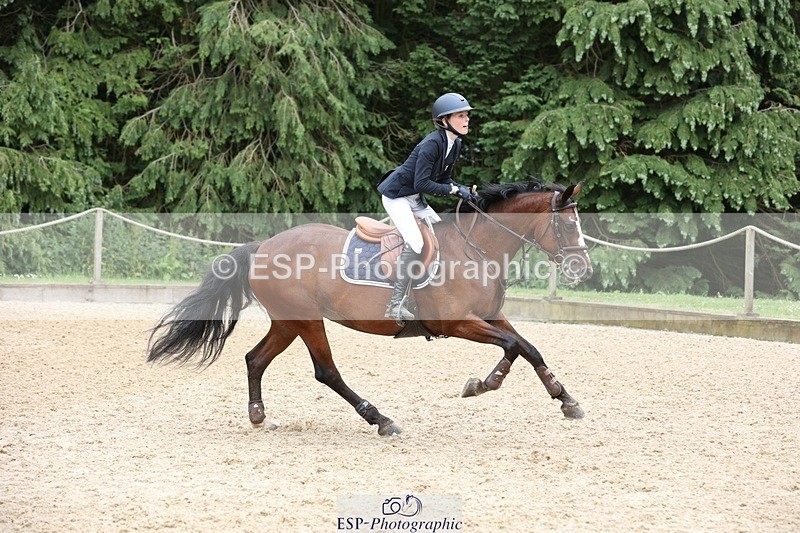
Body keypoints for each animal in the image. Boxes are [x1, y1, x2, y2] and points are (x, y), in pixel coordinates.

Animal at [147, 179, 593, 436]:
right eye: (568, 224)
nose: (583, 268)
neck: (478, 249)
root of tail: (263, 247)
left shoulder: (489, 316)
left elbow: (529, 348)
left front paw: (566, 400)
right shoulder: (457, 323)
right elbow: (512, 347)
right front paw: (483, 384)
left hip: (288, 321)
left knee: (255, 359)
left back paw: (258, 416)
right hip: (307, 320)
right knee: (326, 372)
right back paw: (381, 420)